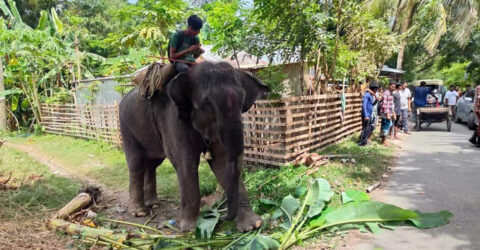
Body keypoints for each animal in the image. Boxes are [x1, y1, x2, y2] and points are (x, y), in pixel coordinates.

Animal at [117, 61, 270, 232]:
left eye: (242, 103)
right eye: (208, 104)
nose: (222, 215)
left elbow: (221, 161)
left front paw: (253, 226)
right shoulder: (172, 119)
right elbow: (186, 161)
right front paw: (189, 229)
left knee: (152, 164)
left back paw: (153, 204)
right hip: (126, 127)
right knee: (136, 163)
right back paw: (140, 212)